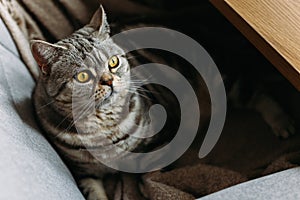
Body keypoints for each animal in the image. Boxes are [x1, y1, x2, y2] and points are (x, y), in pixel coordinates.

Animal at [31, 5, 296, 199]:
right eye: (83, 76)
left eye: (113, 62)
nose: (109, 81)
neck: (104, 127)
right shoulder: (83, 174)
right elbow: (94, 192)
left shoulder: (163, 135)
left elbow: (149, 172)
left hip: (220, 80)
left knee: (258, 92)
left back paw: (283, 123)